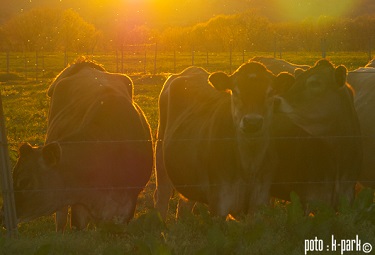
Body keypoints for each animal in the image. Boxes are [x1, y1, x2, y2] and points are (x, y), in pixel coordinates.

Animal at [11, 58, 153, 231]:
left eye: (24, 181)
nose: (5, 214)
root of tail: (86, 65)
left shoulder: (127, 208)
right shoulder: (79, 205)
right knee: (60, 218)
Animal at [154, 62, 296, 219]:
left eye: (270, 93)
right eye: (236, 92)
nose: (252, 122)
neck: (248, 165)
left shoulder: (260, 203)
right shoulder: (219, 204)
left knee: (184, 205)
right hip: (160, 157)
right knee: (162, 198)